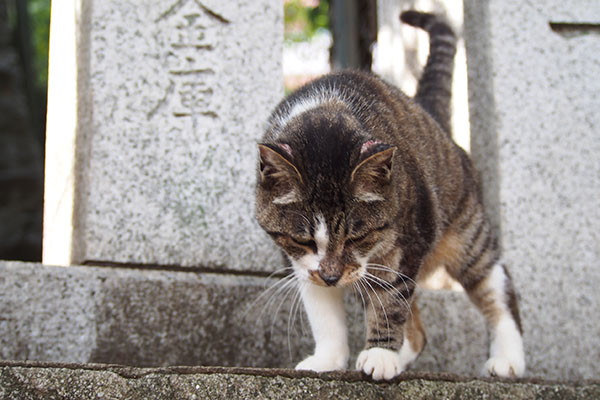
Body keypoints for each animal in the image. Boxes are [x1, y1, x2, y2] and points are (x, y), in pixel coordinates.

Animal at [254, 10, 524, 380]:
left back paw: (509, 358)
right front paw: (327, 359)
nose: (331, 277)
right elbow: (324, 315)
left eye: (357, 237)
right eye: (304, 240)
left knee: (496, 285)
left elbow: (391, 302)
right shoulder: (300, 262)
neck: (326, 107)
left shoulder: (408, 241)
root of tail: (429, 114)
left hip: (467, 234)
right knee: (418, 330)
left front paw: (381, 354)